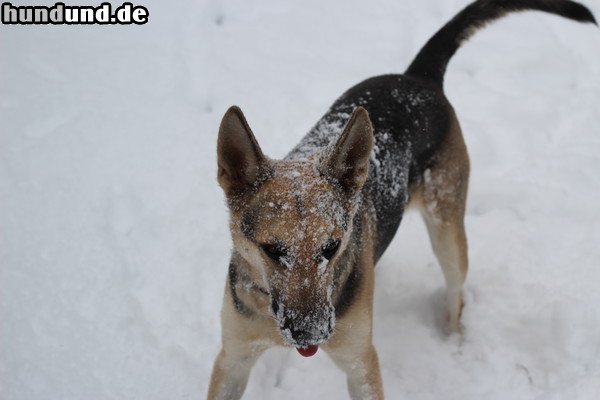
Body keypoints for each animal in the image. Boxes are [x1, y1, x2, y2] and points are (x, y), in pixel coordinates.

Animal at [207, 1, 596, 398]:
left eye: (331, 247)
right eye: (272, 249)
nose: (311, 333)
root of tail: (418, 77)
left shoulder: (361, 362)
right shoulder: (233, 359)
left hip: (447, 230)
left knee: (456, 292)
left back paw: (453, 340)